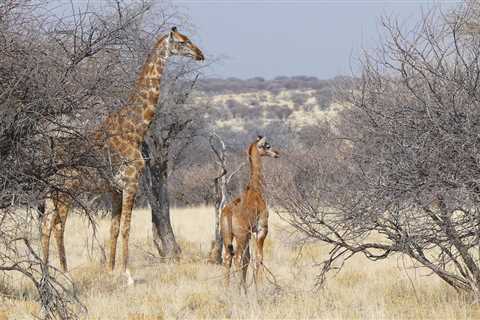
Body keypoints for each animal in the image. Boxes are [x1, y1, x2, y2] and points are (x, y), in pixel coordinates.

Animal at [41, 26, 204, 274]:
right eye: (183, 41)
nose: (200, 54)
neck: (134, 129)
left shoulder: (115, 189)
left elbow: (114, 229)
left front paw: (111, 269)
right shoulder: (131, 183)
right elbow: (127, 228)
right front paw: (127, 272)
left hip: (53, 191)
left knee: (46, 225)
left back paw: (46, 271)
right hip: (65, 189)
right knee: (57, 225)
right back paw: (62, 272)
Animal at [220, 136, 280, 292]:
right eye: (267, 145)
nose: (277, 153)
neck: (255, 189)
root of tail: (228, 213)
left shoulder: (250, 233)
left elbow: (248, 259)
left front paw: (247, 288)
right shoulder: (261, 229)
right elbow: (258, 258)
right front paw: (258, 288)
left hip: (228, 236)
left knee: (228, 258)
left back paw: (228, 290)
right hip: (241, 236)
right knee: (237, 258)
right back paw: (238, 290)